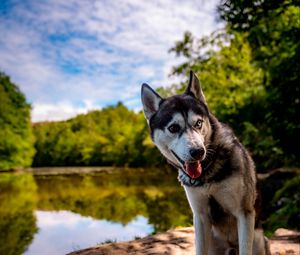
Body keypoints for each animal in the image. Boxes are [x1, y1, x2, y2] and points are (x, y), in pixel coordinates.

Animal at [141, 70, 270, 254]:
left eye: (198, 123)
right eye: (173, 128)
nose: (198, 152)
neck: (209, 173)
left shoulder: (244, 213)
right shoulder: (200, 217)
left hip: (259, 240)